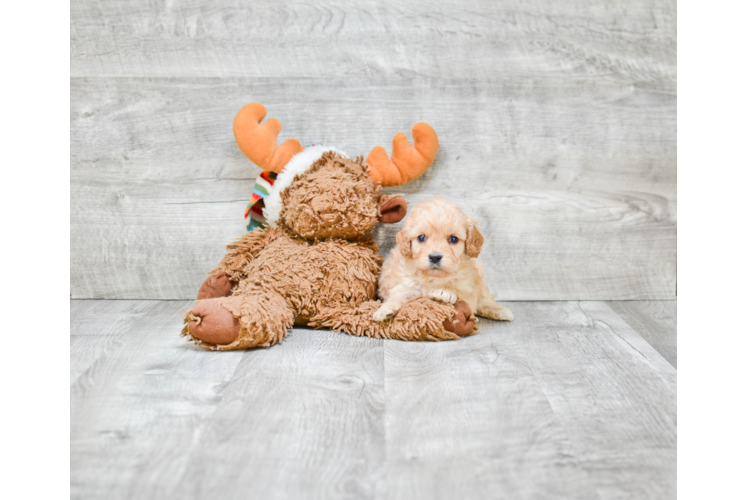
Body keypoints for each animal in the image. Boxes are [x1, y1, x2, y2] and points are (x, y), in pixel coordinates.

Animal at [374, 198, 516, 324]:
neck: (434, 277)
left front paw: (444, 292)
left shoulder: (468, 289)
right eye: (421, 237)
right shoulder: (405, 284)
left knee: (485, 299)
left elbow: (458, 291)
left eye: (453, 239)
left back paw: (499, 310)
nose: (435, 257)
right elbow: (398, 295)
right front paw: (385, 309)